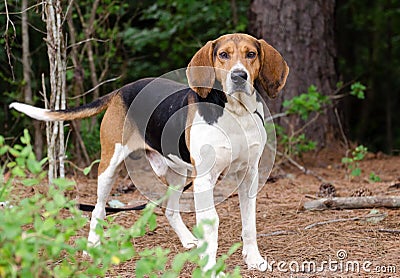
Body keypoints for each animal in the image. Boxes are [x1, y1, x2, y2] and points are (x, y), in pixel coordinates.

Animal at [9, 33, 288, 274]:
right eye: (223, 55)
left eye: (251, 54)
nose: (239, 76)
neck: (235, 112)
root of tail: (122, 89)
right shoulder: (204, 179)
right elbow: (212, 222)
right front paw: (210, 267)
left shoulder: (249, 174)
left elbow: (249, 222)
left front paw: (254, 259)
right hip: (109, 166)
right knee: (98, 210)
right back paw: (92, 246)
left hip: (179, 173)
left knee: (170, 210)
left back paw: (189, 240)